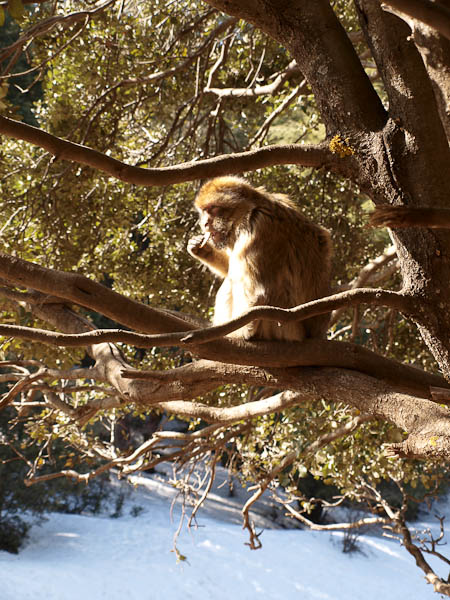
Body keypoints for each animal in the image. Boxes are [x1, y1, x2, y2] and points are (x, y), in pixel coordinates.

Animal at [188, 176, 332, 340]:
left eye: (213, 209)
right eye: (204, 211)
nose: (205, 223)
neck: (251, 210)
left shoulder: (256, 230)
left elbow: (256, 292)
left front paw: (237, 333)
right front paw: (203, 250)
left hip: (284, 328)